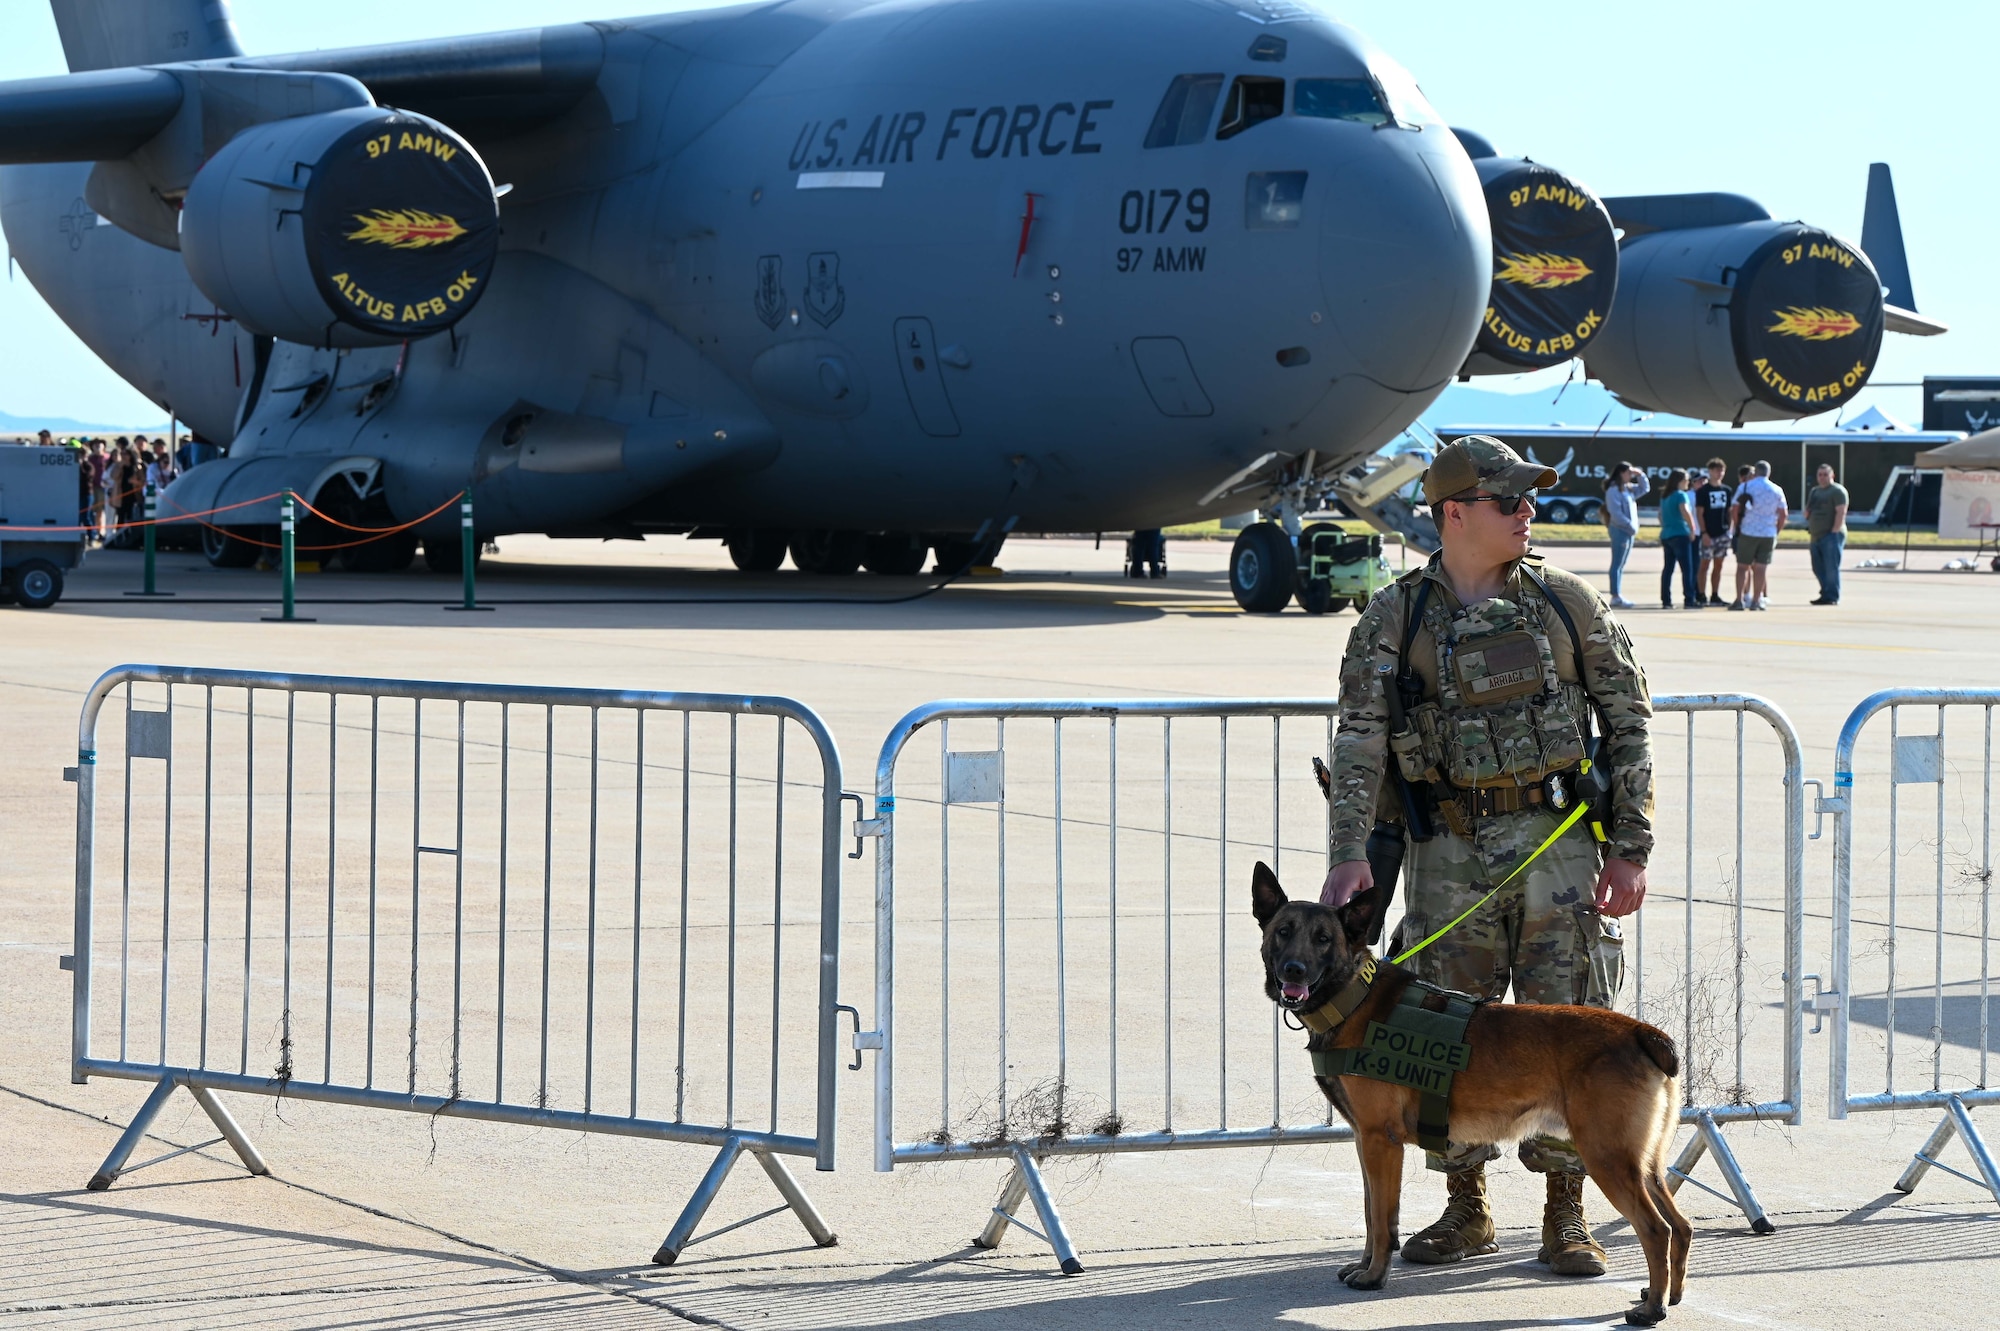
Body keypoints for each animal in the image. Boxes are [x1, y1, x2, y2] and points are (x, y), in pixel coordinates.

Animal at [1248, 859, 1688, 1319]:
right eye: (1283, 932)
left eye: (1323, 939)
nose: (1293, 970)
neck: (1354, 996)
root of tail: (1640, 1032)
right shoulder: (1364, 1141)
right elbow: (1370, 1214)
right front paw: (1364, 1265)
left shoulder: (1380, 1143)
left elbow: (1383, 1221)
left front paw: (1374, 1276)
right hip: (1644, 1165)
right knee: (1681, 1226)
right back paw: (1669, 1294)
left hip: (1607, 1157)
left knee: (1656, 1230)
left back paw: (1652, 1309)